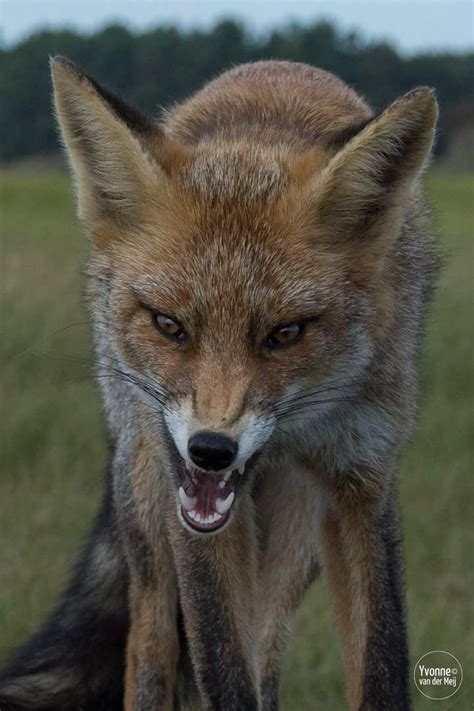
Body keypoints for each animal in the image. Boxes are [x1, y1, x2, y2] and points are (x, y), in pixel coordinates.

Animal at [0, 58, 440, 708]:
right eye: (169, 324)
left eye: (286, 333)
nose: (211, 450)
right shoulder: (191, 513)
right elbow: (221, 674)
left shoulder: (364, 477)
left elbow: (381, 667)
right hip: (148, 503)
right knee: (151, 645)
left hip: (291, 542)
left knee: (266, 656)